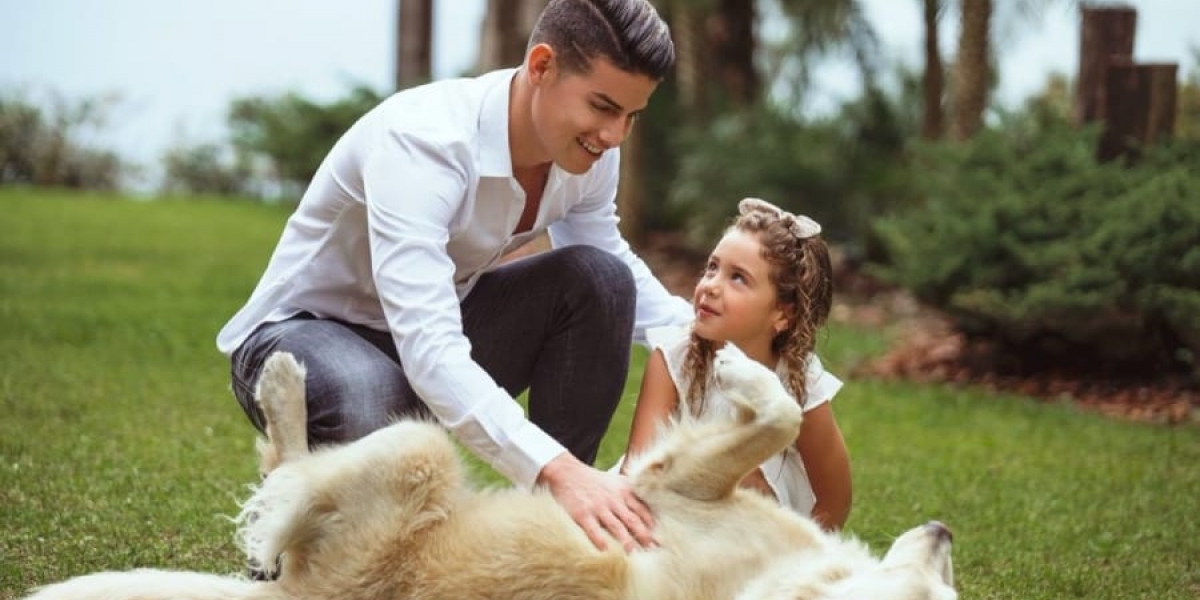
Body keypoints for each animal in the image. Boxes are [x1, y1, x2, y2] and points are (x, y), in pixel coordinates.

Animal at [23, 348, 955, 600]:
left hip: (418, 450)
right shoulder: (677, 483)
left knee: (285, 493)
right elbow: (783, 415)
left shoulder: (674, 489)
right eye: (942, 587)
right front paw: (740, 361)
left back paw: (282, 396)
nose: (945, 528)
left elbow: (781, 418)